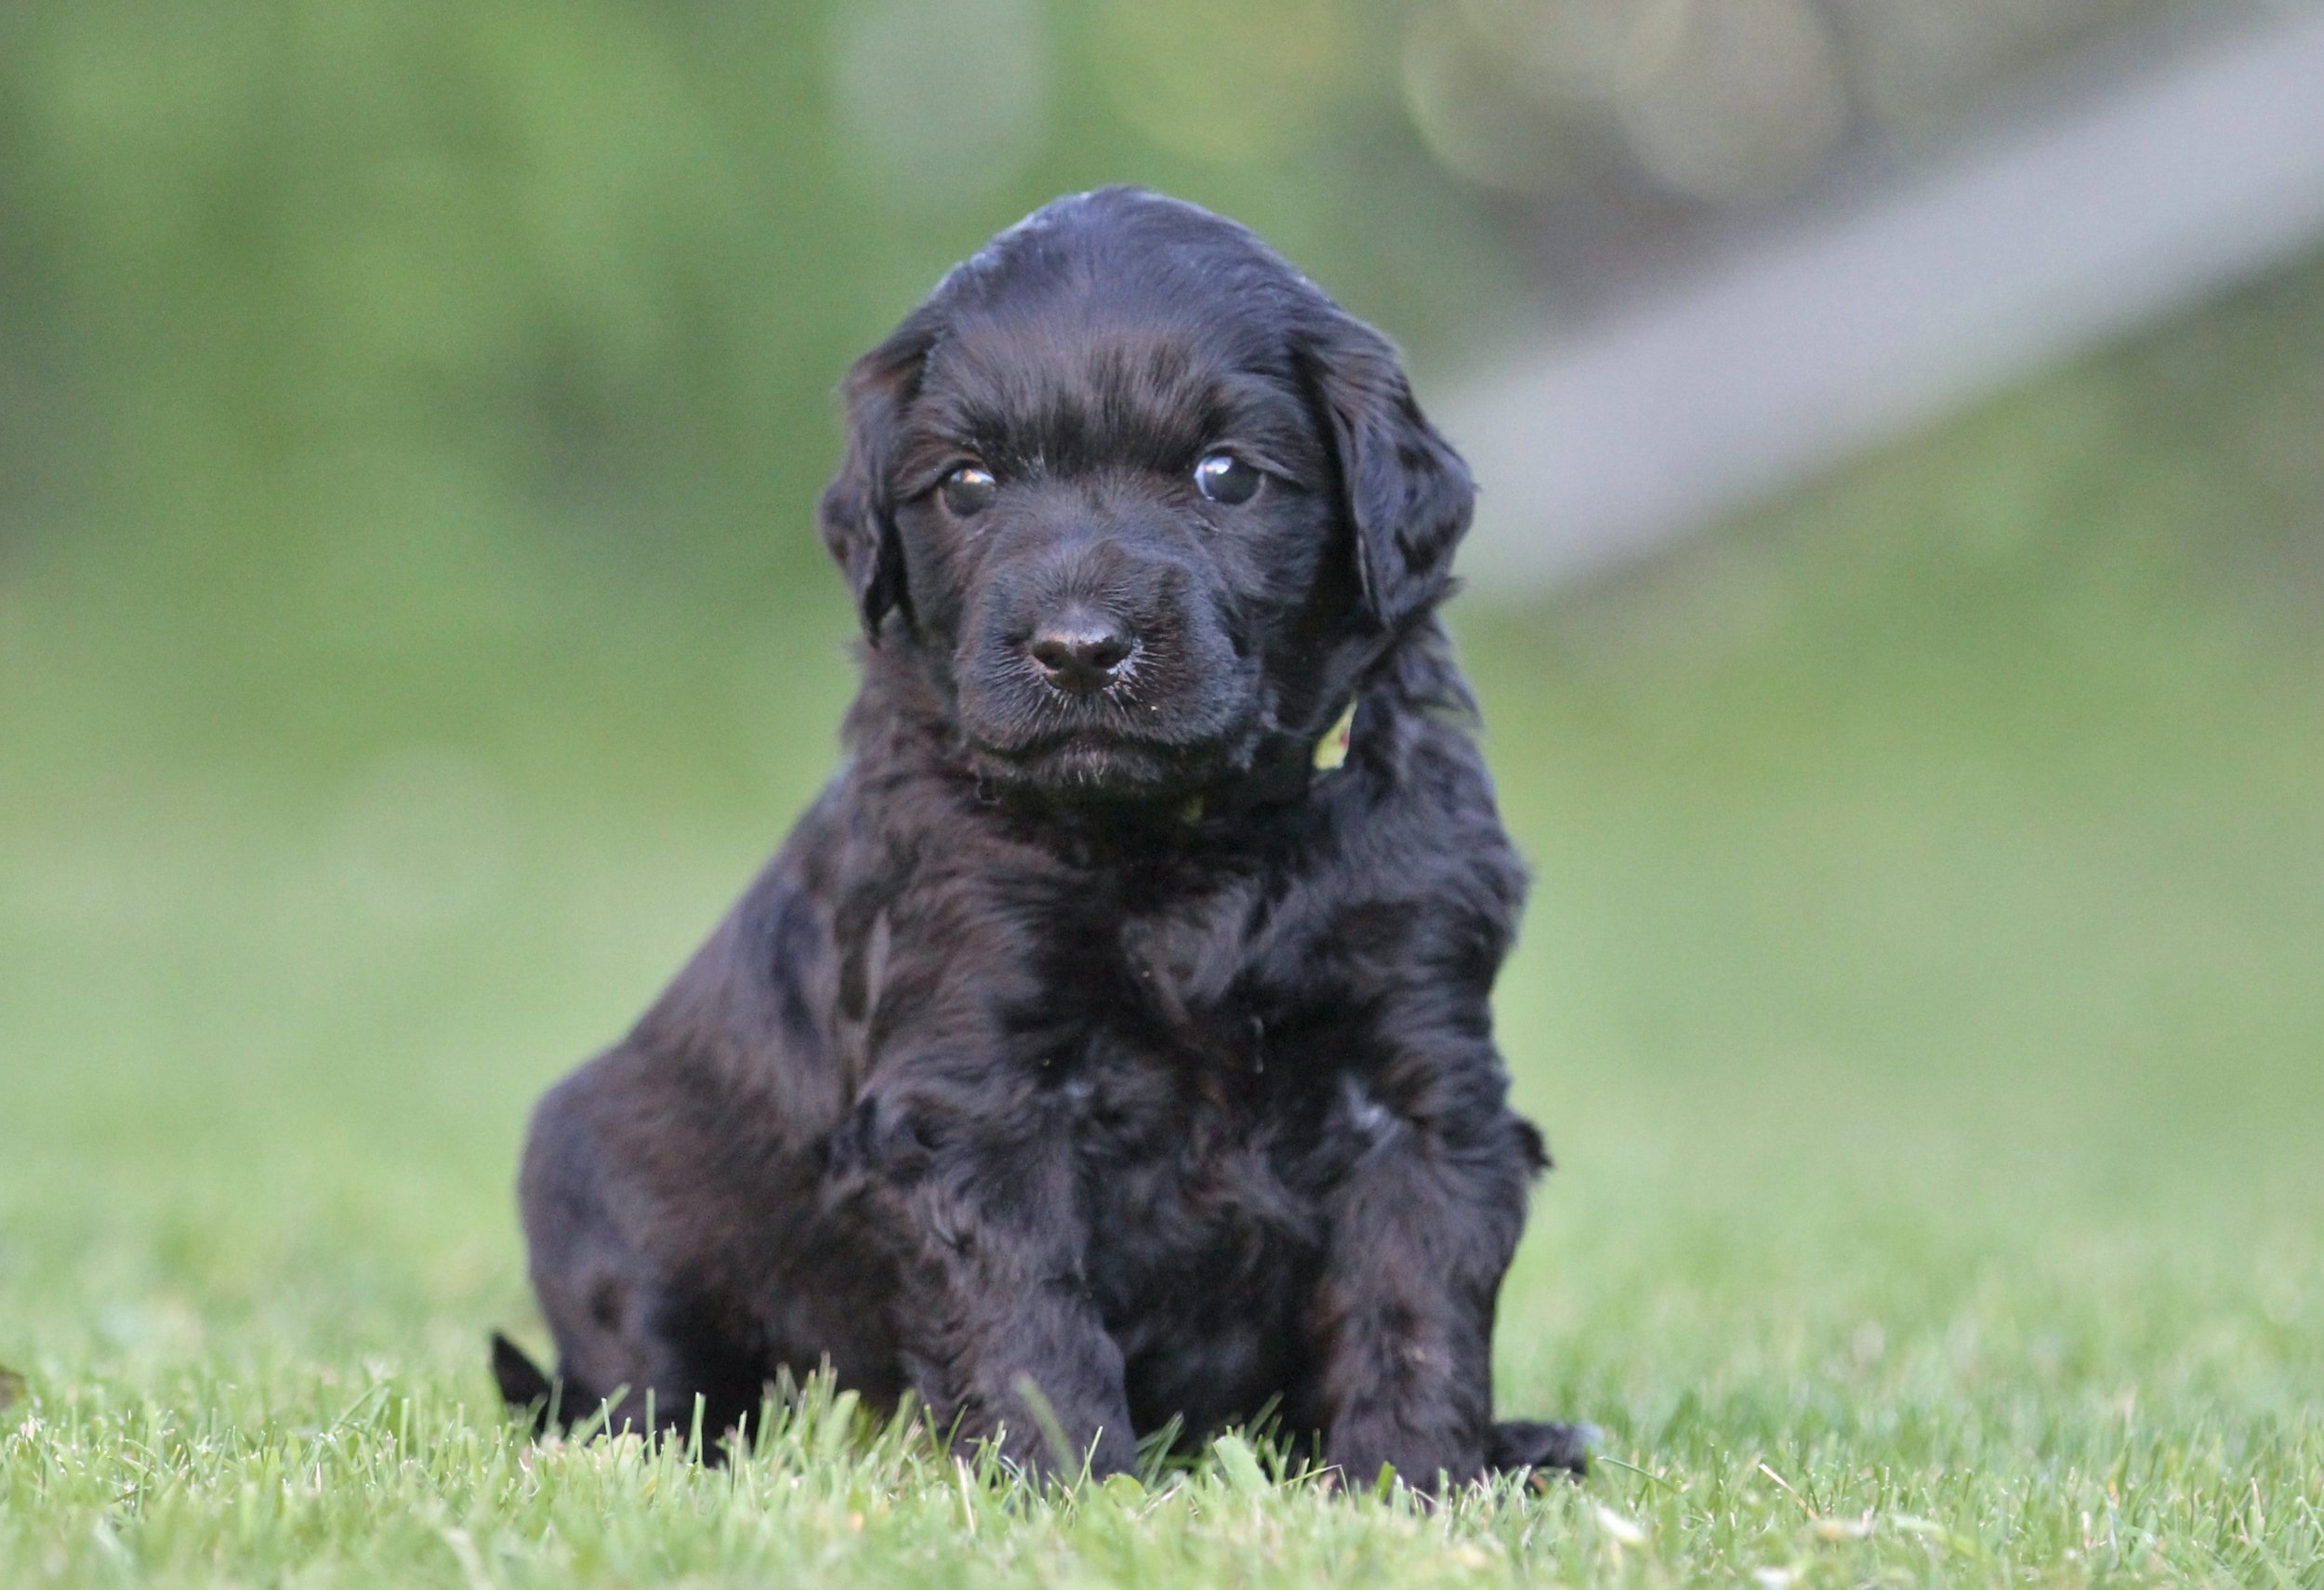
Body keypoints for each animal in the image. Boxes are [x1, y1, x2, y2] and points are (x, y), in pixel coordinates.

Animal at [499, 189, 1590, 1488]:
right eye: (968, 482)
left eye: (1226, 475)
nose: (1077, 648)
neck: (1190, 844)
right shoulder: (976, 1082)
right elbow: (1025, 1314)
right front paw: (1071, 1487)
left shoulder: (1417, 1068)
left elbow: (1414, 1301)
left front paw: (1410, 1485)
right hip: (603, 1175)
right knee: (642, 1381)